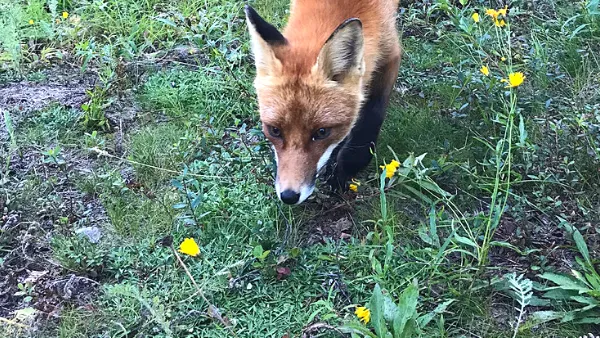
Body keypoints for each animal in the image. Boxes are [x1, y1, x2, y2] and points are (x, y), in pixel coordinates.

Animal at [244, 0, 404, 205]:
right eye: (274, 130)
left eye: (322, 132)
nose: (289, 196)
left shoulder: (391, 53)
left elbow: (372, 115)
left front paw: (347, 167)